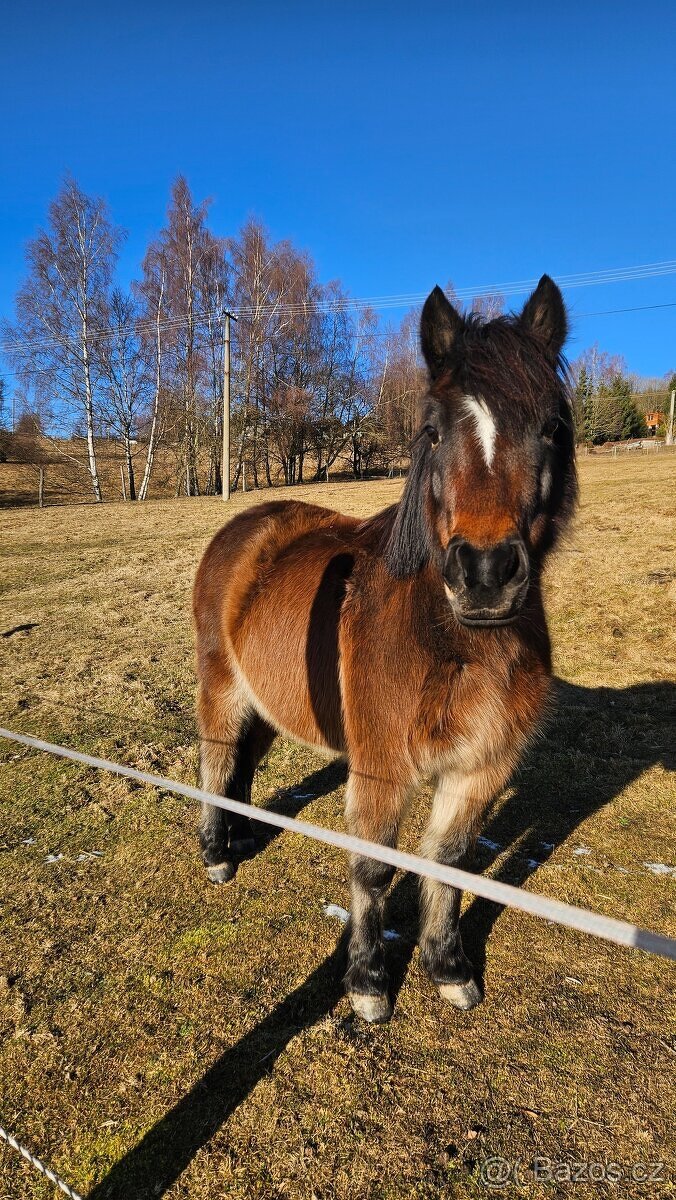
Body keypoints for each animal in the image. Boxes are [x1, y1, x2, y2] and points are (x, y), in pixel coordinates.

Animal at [192, 274, 577, 1022]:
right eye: (433, 429)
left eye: (552, 426)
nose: (486, 573)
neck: (448, 641)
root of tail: (244, 524)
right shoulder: (381, 770)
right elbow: (373, 869)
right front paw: (368, 981)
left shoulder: (481, 769)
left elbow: (447, 861)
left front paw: (447, 966)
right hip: (220, 686)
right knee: (215, 763)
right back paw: (217, 852)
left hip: (266, 696)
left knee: (244, 759)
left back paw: (246, 834)